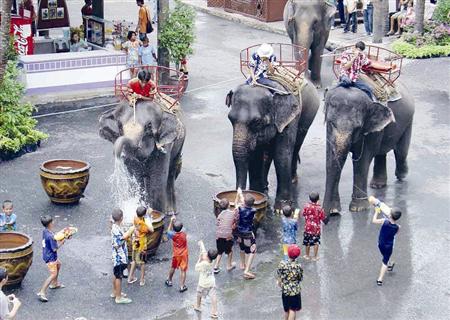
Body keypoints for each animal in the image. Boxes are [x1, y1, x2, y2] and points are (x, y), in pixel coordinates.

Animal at [324, 85, 414, 215]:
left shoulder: (370, 129)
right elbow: (331, 159)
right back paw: (377, 185)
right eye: (331, 123)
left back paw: (401, 175)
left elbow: (362, 161)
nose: (326, 216)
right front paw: (334, 210)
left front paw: (358, 209)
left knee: (401, 152)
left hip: (408, 122)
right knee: (381, 153)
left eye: (357, 128)